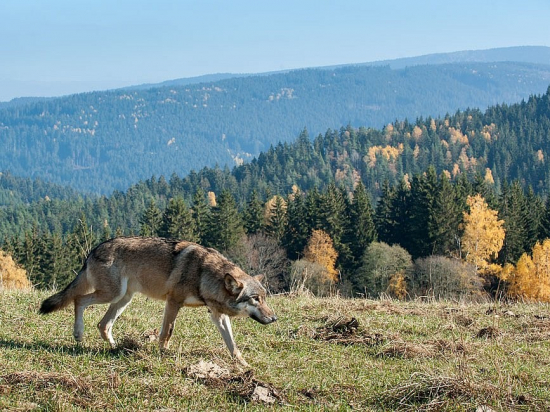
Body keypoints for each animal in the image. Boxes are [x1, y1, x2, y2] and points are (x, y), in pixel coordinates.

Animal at [40, 237, 278, 366]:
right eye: (255, 299)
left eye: (264, 298)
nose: (274, 318)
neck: (204, 275)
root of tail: (93, 250)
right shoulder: (173, 302)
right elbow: (167, 332)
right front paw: (163, 354)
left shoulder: (217, 315)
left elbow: (233, 345)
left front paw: (243, 365)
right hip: (111, 295)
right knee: (79, 299)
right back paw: (78, 334)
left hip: (123, 299)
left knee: (103, 324)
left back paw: (116, 348)